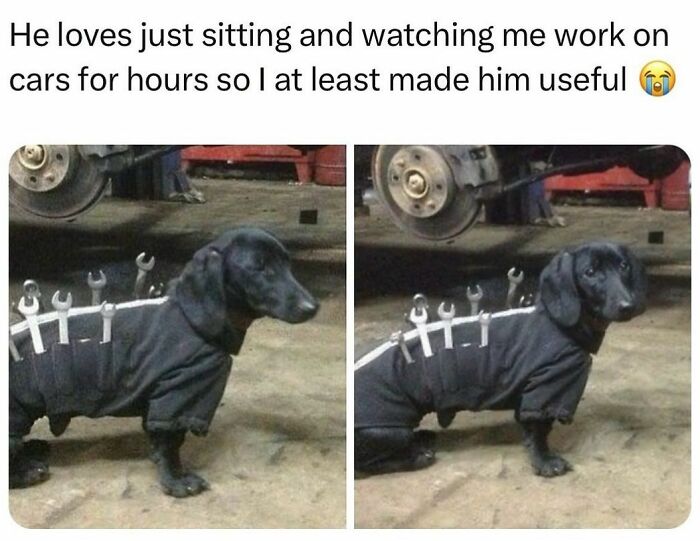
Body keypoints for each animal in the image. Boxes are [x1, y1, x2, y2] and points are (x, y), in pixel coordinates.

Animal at [8, 226, 320, 496]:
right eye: (259, 268)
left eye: (288, 264)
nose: (313, 307)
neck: (189, 319)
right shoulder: (180, 393)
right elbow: (171, 443)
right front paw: (176, 480)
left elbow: (158, 437)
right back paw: (26, 471)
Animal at [356, 243, 644, 474]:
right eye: (590, 272)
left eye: (624, 266)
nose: (628, 306)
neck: (557, 323)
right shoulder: (548, 386)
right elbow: (539, 429)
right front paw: (545, 461)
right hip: (390, 430)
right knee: (365, 466)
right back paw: (417, 457)